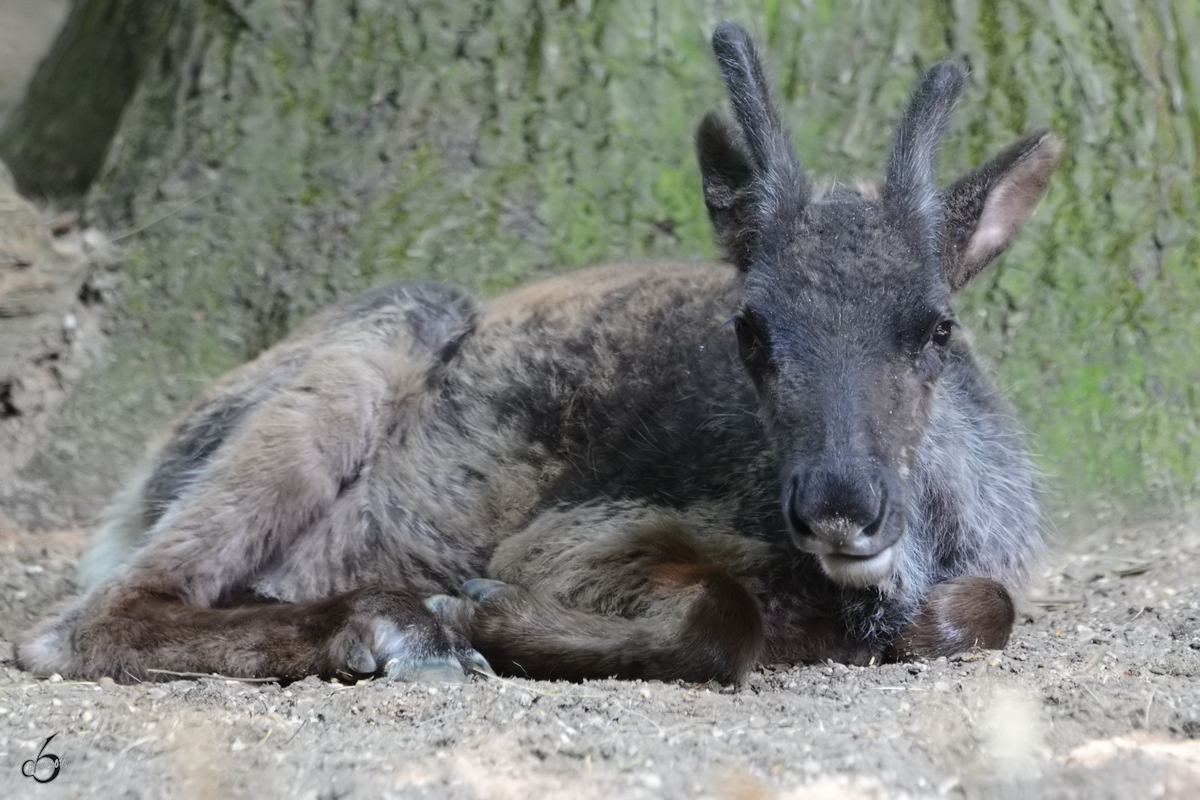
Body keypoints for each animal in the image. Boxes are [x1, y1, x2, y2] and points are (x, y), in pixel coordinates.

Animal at [18, 26, 1060, 690]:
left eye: (937, 327)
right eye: (750, 328)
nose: (840, 503)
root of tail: (138, 488)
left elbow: (986, 609)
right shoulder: (578, 530)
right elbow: (727, 615)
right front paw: (483, 614)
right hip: (387, 331)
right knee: (82, 621)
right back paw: (398, 628)